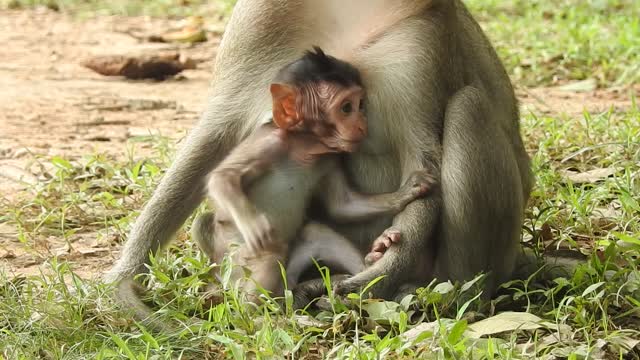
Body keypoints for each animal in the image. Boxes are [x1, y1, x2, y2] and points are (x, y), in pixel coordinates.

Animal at [192, 47, 438, 300]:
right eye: (346, 108)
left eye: (360, 105)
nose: (362, 124)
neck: (304, 149)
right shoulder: (269, 142)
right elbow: (222, 178)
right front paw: (256, 227)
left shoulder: (328, 159)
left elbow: (343, 205)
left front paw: (409, 189)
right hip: (236, 265)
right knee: (269, 258)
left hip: (288, 271)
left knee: (315, 232)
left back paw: (372, 258)